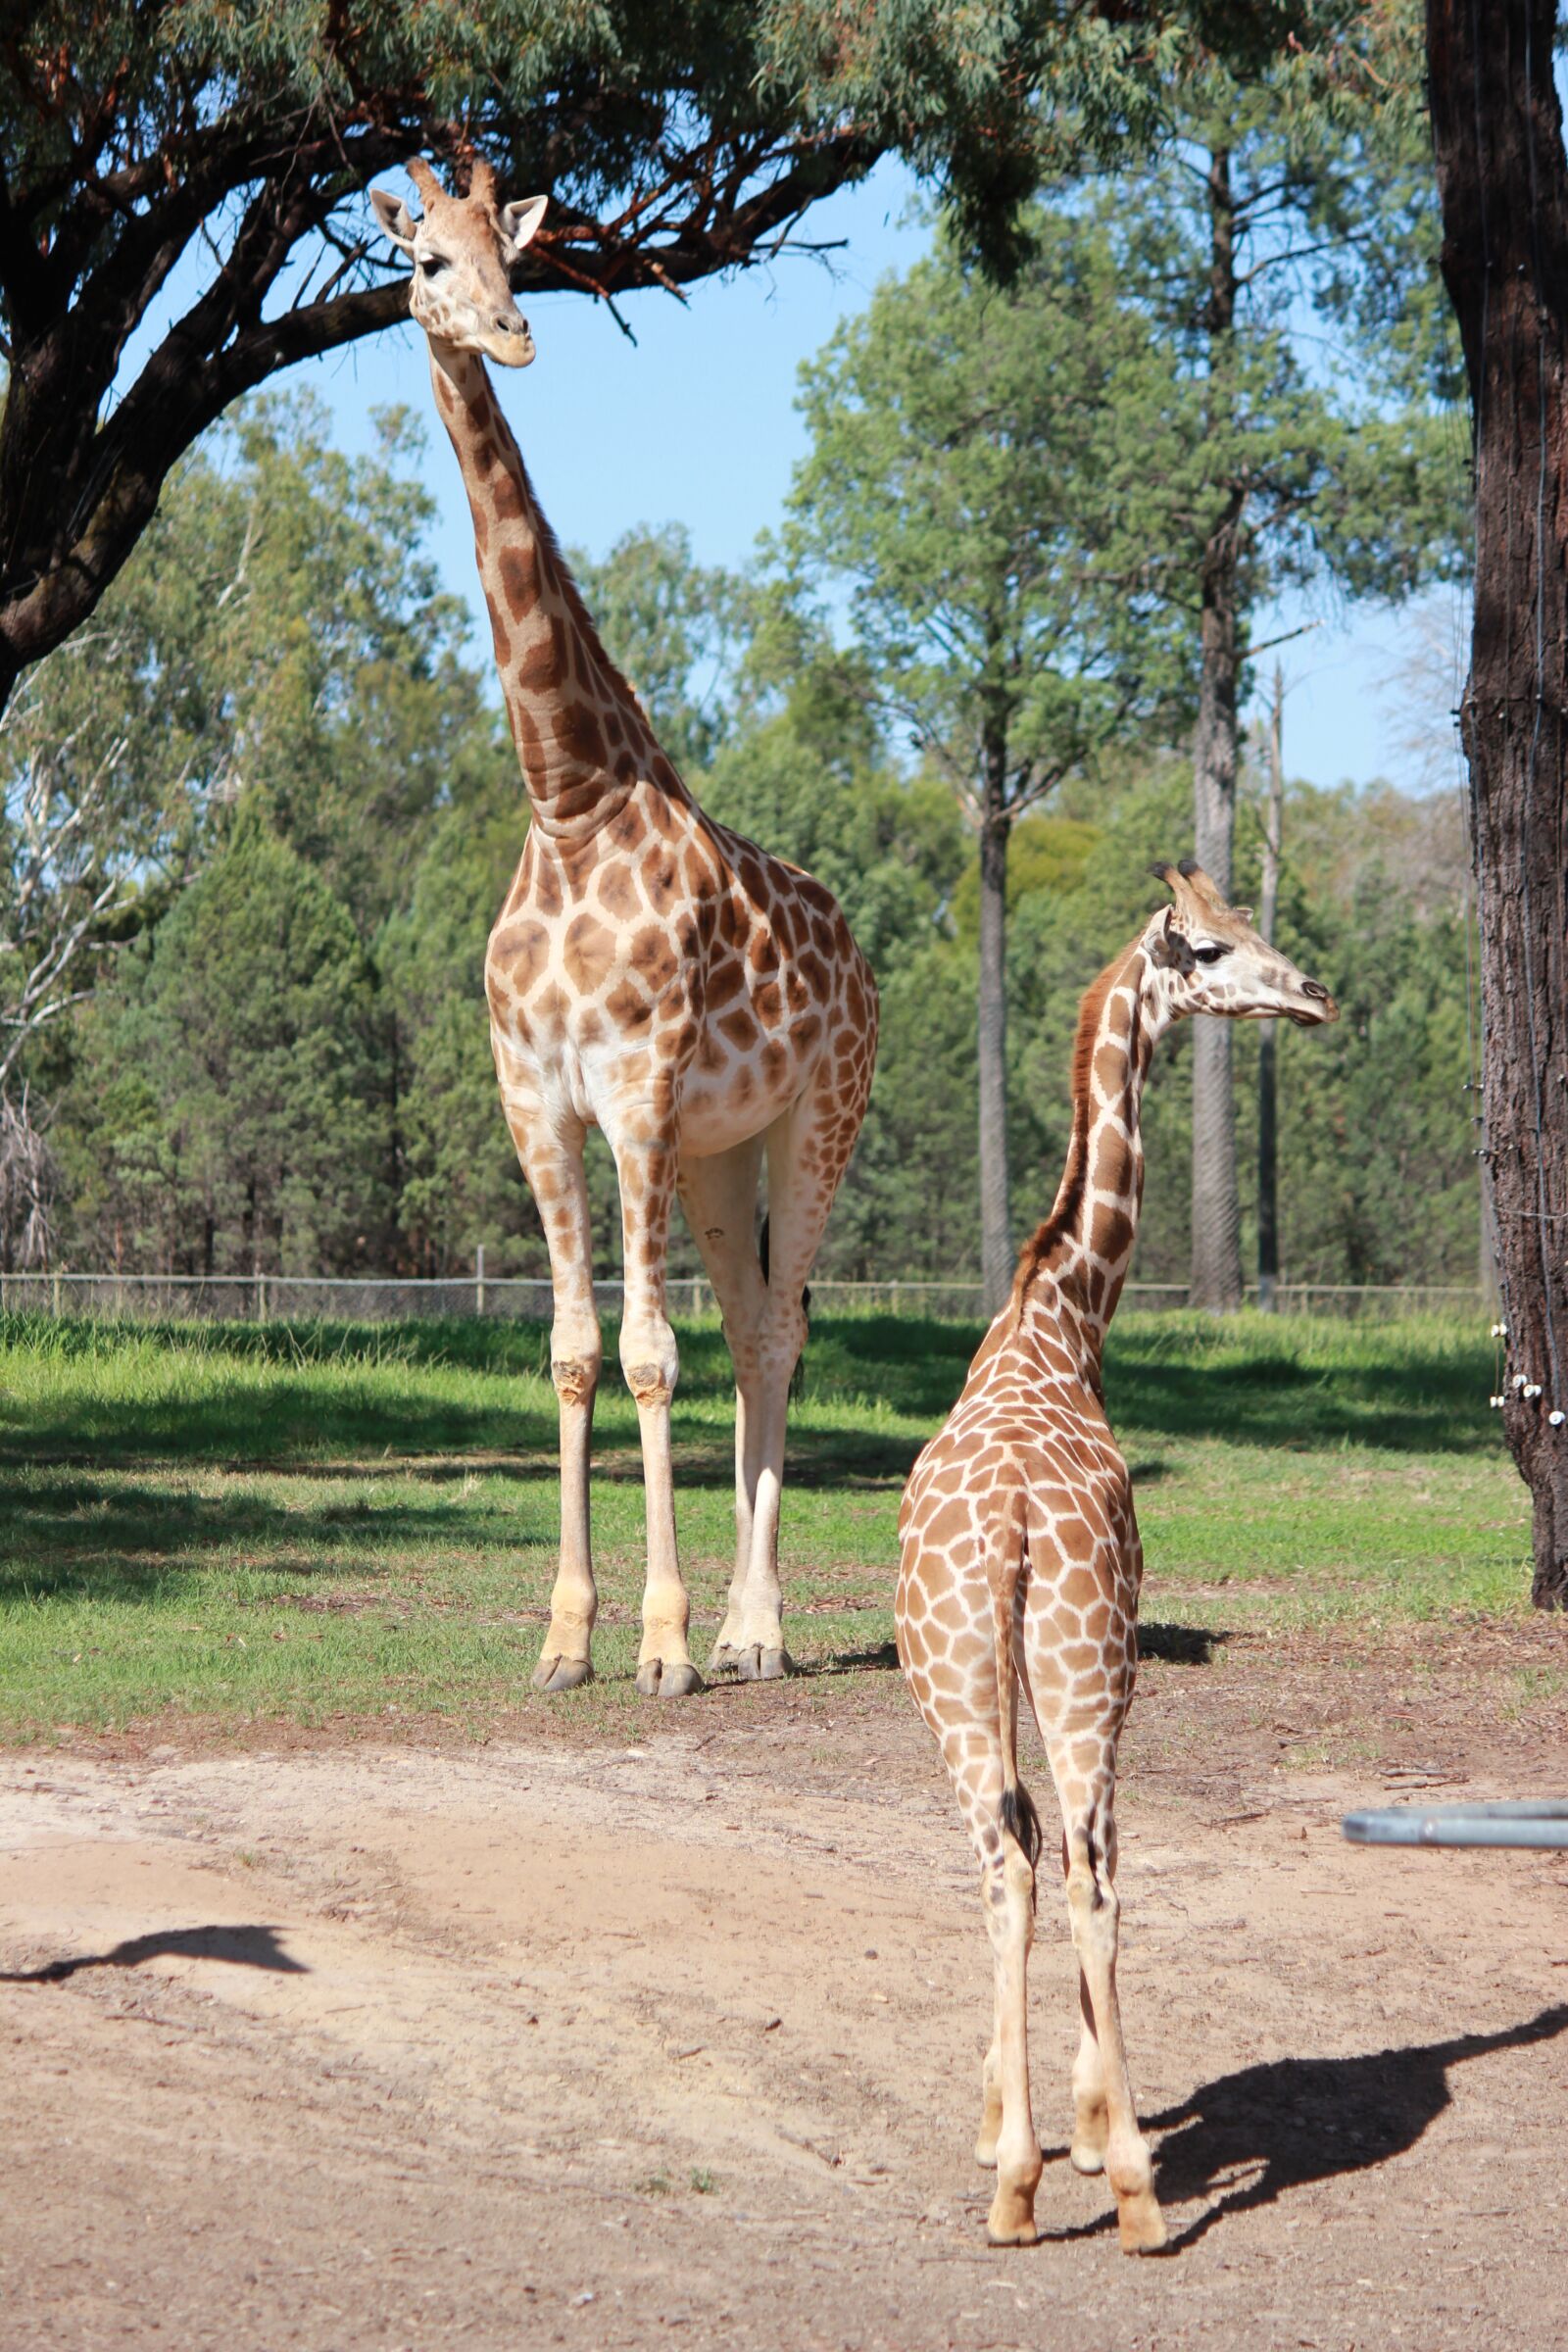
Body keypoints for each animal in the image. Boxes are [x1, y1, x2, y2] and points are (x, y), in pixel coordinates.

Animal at [370, 161, 878, 1697]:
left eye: (510, 250)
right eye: (427, 262)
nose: (513, 330)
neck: (568, 801)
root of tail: (860, 950)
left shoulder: (639, 1091)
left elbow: (654, 1353)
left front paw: (659, 1645)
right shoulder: (537, 1099)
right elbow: (576, 1349)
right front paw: (565, 1637)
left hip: (816, 1118)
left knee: (777, 1328)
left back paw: (751, 1634)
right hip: (722, 1154)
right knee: (759, 1321)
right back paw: (744, 1624)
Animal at [896, 860, 1337, 2253]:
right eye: (1209, 945)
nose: (1311, 992)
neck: (1057, 1318)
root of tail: (1017, 1528)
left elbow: (1034, 1855)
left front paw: (1042, 2127)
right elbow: (1081, 1857)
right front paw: (1077, 2131)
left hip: (1008, 1676)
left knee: (1023, 1863)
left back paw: (1040, 2188)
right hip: (1070, 1665)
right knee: (1074, 1869)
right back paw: (1111, 2185)